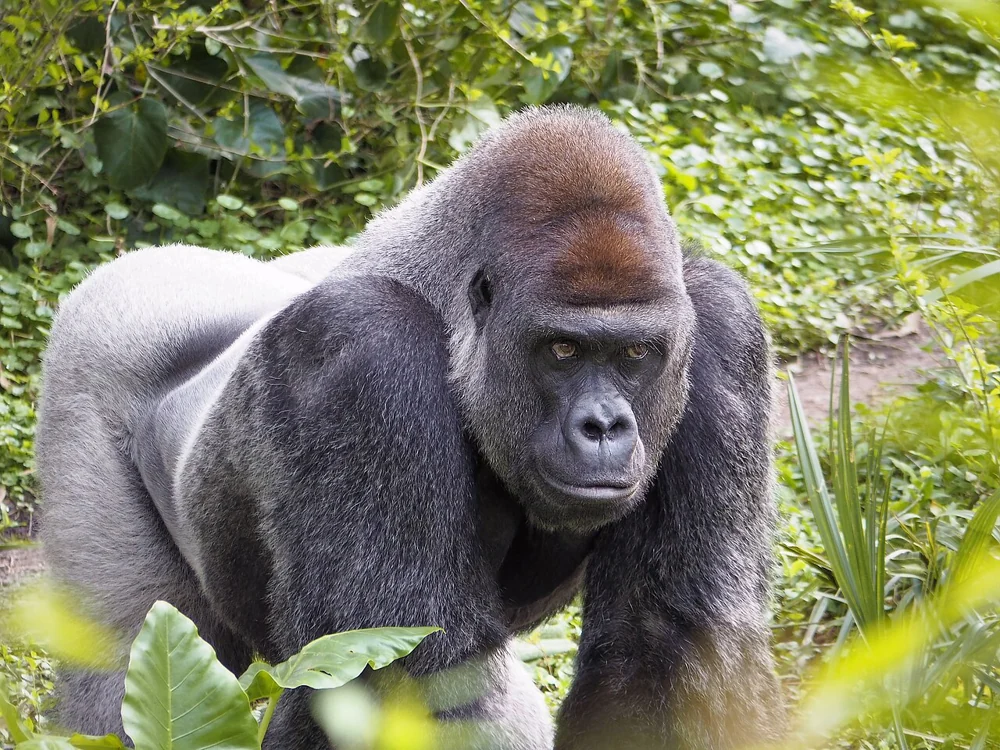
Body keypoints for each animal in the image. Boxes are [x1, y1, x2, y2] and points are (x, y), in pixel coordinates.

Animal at [36, 105, 784, 749]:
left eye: (636, 355)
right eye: (563, 350)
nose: (605, 426)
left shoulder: (720, 323)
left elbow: (664, 643)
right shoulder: (364, 347)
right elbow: (423, 679)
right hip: (97, 335)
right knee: (116, 660)